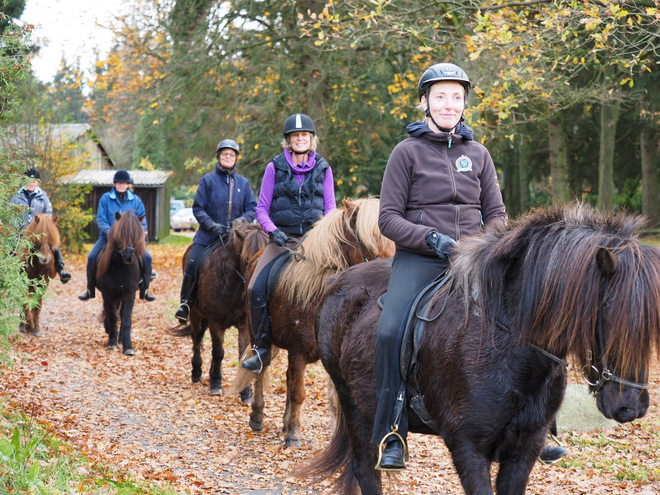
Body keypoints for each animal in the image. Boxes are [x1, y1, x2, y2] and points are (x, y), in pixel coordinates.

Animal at [95, 211, 146, 354]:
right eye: (120, 235)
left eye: (136, 236)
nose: (128, 257)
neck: (121, 268)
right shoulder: (108, 294)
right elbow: (113, 317)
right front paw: (112, 343)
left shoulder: (129, 294)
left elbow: (126, 319)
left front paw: (128, 346)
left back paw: (121, 339)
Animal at [175, 223, 270, 402]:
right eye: (248, 259)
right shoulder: (215, 322)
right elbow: (218, 352)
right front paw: (216, 384)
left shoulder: (244, 325)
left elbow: (242, 356)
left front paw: (245, 392)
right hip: (196, 315)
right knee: (196, 340)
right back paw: (196, 372)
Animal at [231, 198, 394, 450]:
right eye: (373, 250)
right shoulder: (298, 352)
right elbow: (299, 393)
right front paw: (294, 435)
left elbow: (333, 398)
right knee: (262, 369)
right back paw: (258, 417)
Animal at [302, 202, 660, 495]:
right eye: (607, 309)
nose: (630, 406)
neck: (511, 348)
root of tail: (337, 283)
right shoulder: (468, 448)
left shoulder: (525, 449)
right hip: (355, 406)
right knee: (366, 470)